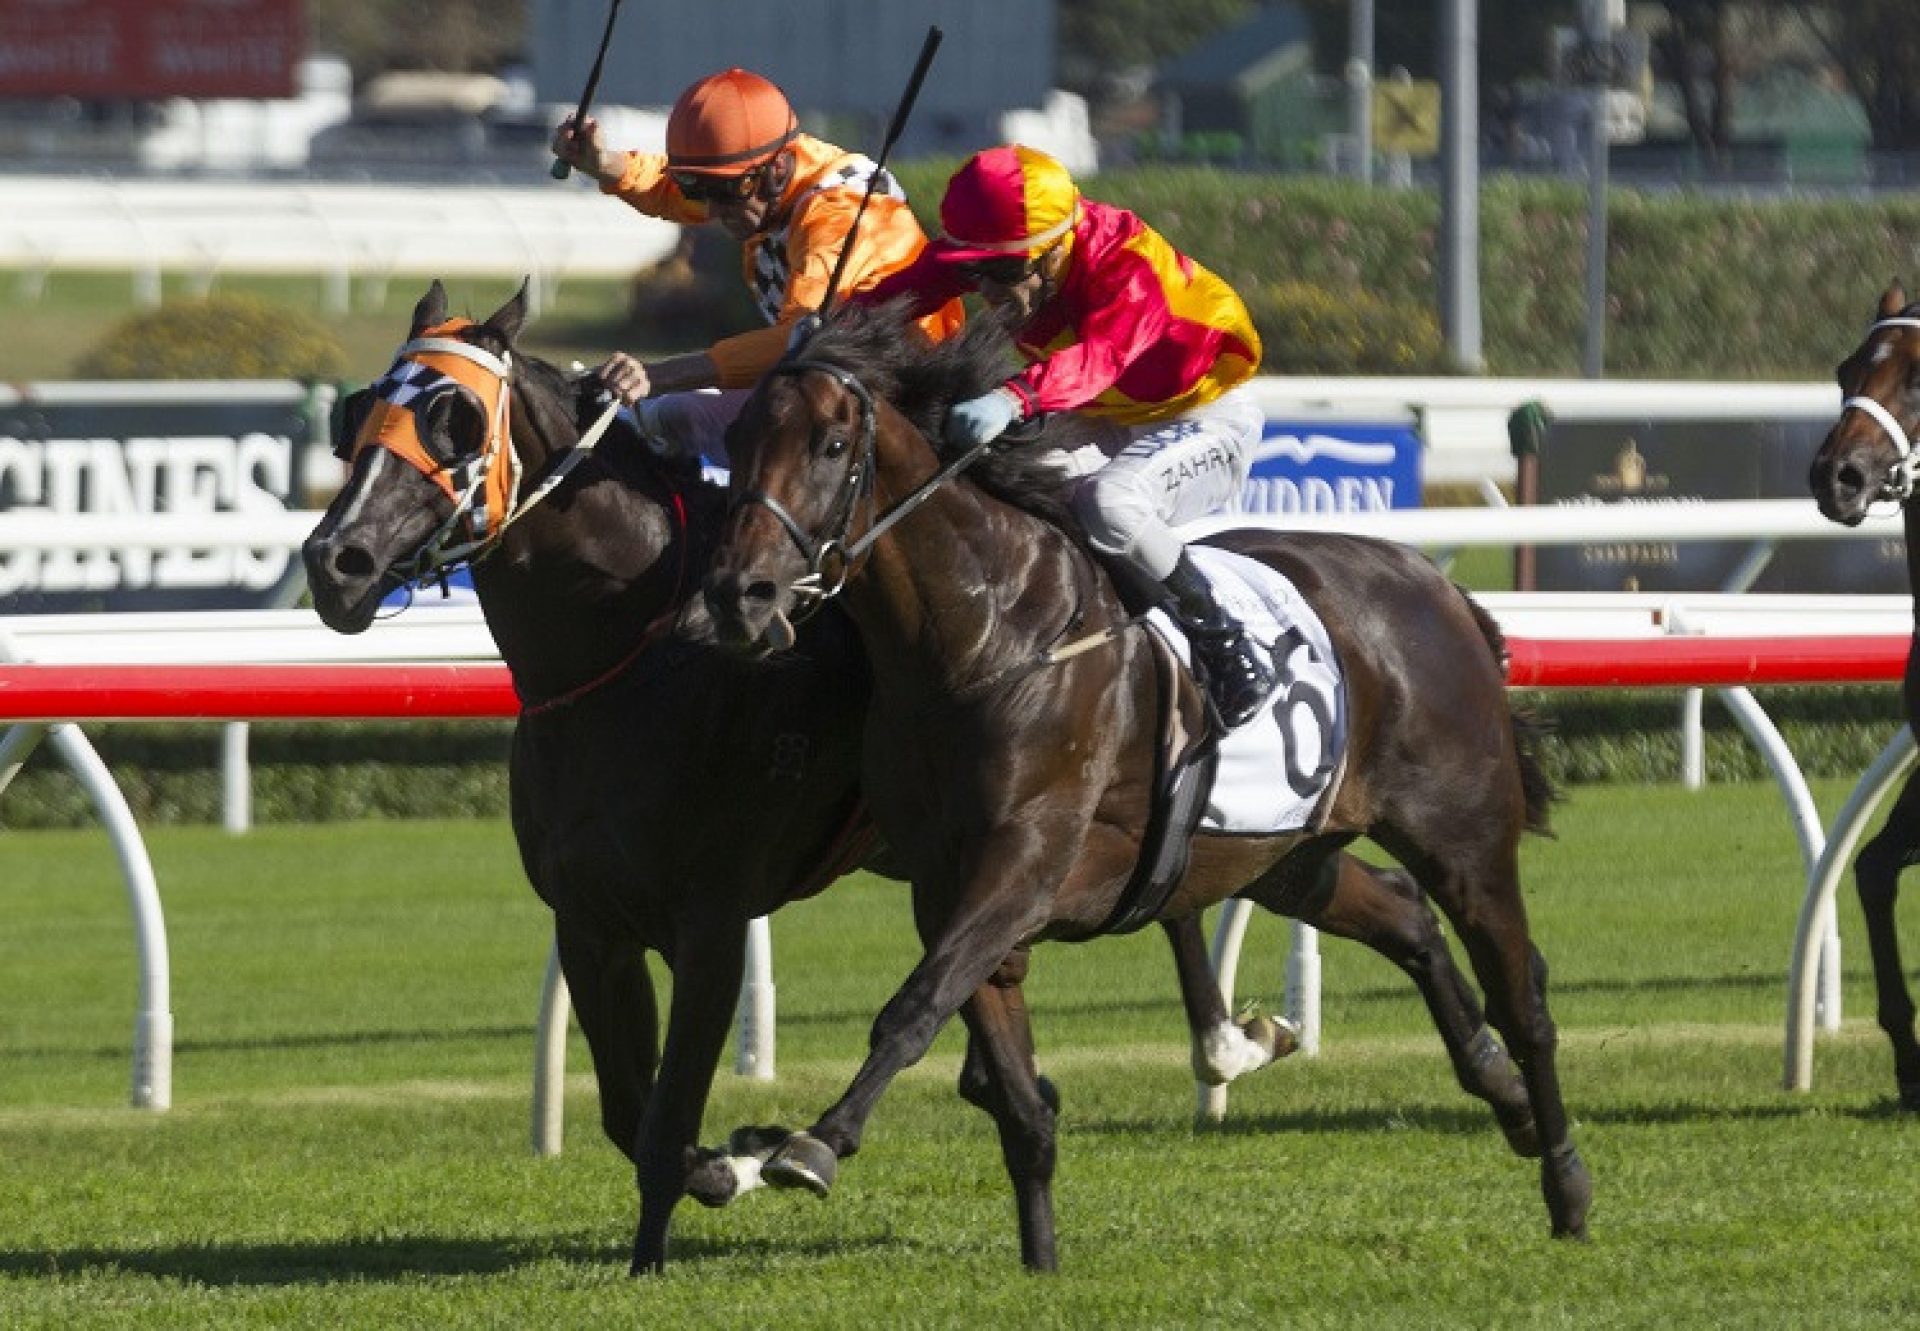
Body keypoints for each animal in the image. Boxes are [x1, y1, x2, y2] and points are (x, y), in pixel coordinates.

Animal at [691, 301, 1589, 1267]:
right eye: (737, 437)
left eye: (829, 445)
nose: (739, 593)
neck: (984, 636)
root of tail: (1444, 591)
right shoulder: (949, 882)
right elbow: (1007, 1083)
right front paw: (1040, 1258)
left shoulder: (1025, 861)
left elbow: (918, 1004)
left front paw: (810, 1144)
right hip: (1282, 853)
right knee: (1403, 913)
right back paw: (1501, 1092)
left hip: (1462, 835)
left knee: (1522, 993)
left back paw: (1566, 1179)